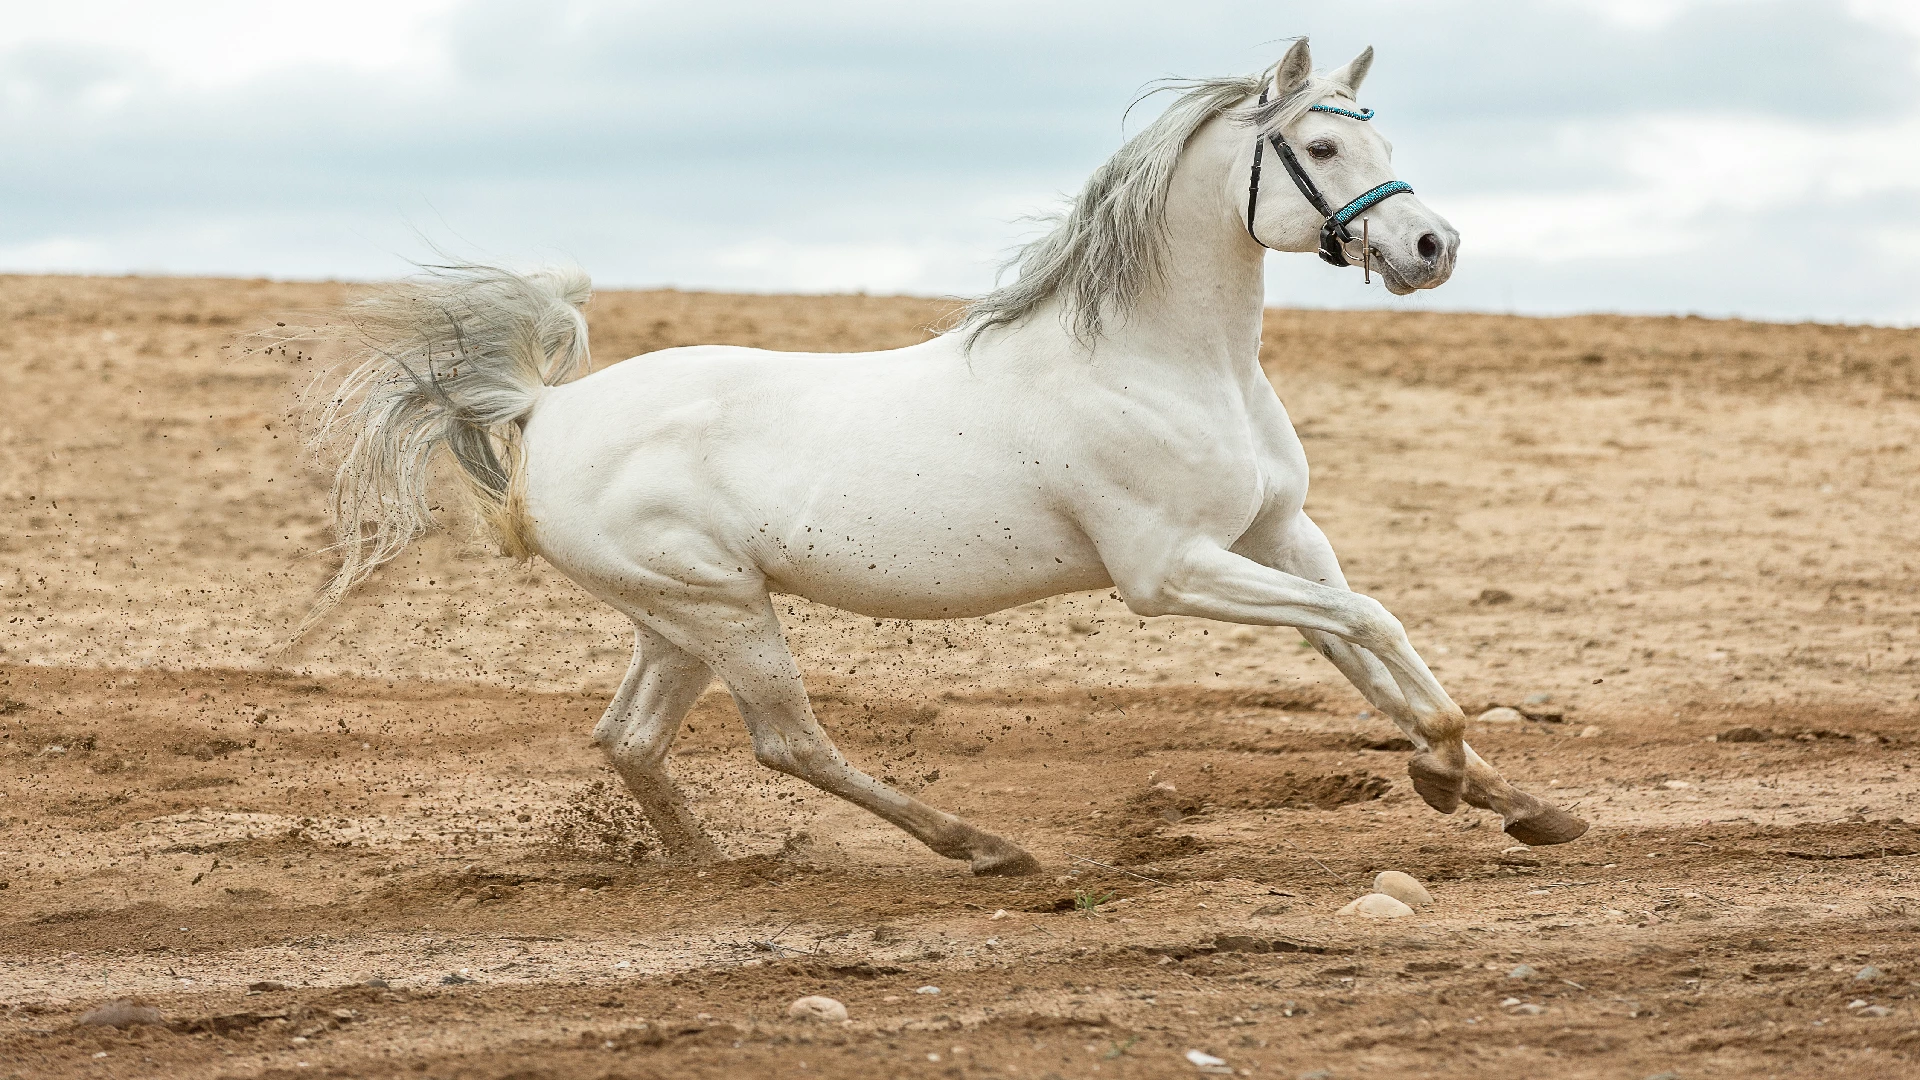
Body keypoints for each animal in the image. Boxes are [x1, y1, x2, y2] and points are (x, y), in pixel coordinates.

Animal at [303, 39, 1589, 876]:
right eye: (1321, 141)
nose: (1431, 247)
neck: (1166, 362)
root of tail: (547, 410)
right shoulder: (1170, 573)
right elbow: (1370, 625)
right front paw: (1443, 774)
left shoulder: (1278, 536)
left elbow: (1362, 642)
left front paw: (1515, 801)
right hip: (722, 611)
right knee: (790, 741)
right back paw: (983, 849)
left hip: (676, 618)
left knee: (630, 740)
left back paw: (709, 864)